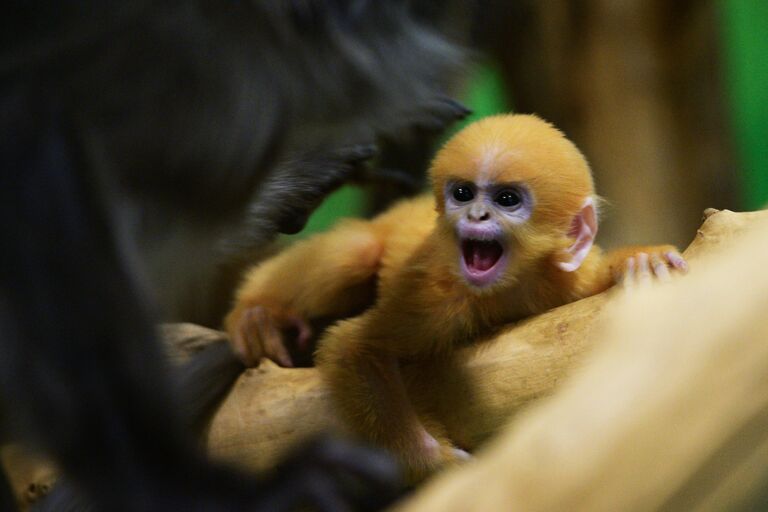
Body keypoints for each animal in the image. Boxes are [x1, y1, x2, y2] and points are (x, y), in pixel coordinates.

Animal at [225, 114, 688, 482]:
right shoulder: (435, 298)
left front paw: (639, 260)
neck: (512, 287)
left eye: (506, 200)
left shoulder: (570, 281)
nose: (475, 215)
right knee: (354, 251)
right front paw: (433, 461)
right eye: (463, 193)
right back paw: (255, 310)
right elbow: (354, 347)